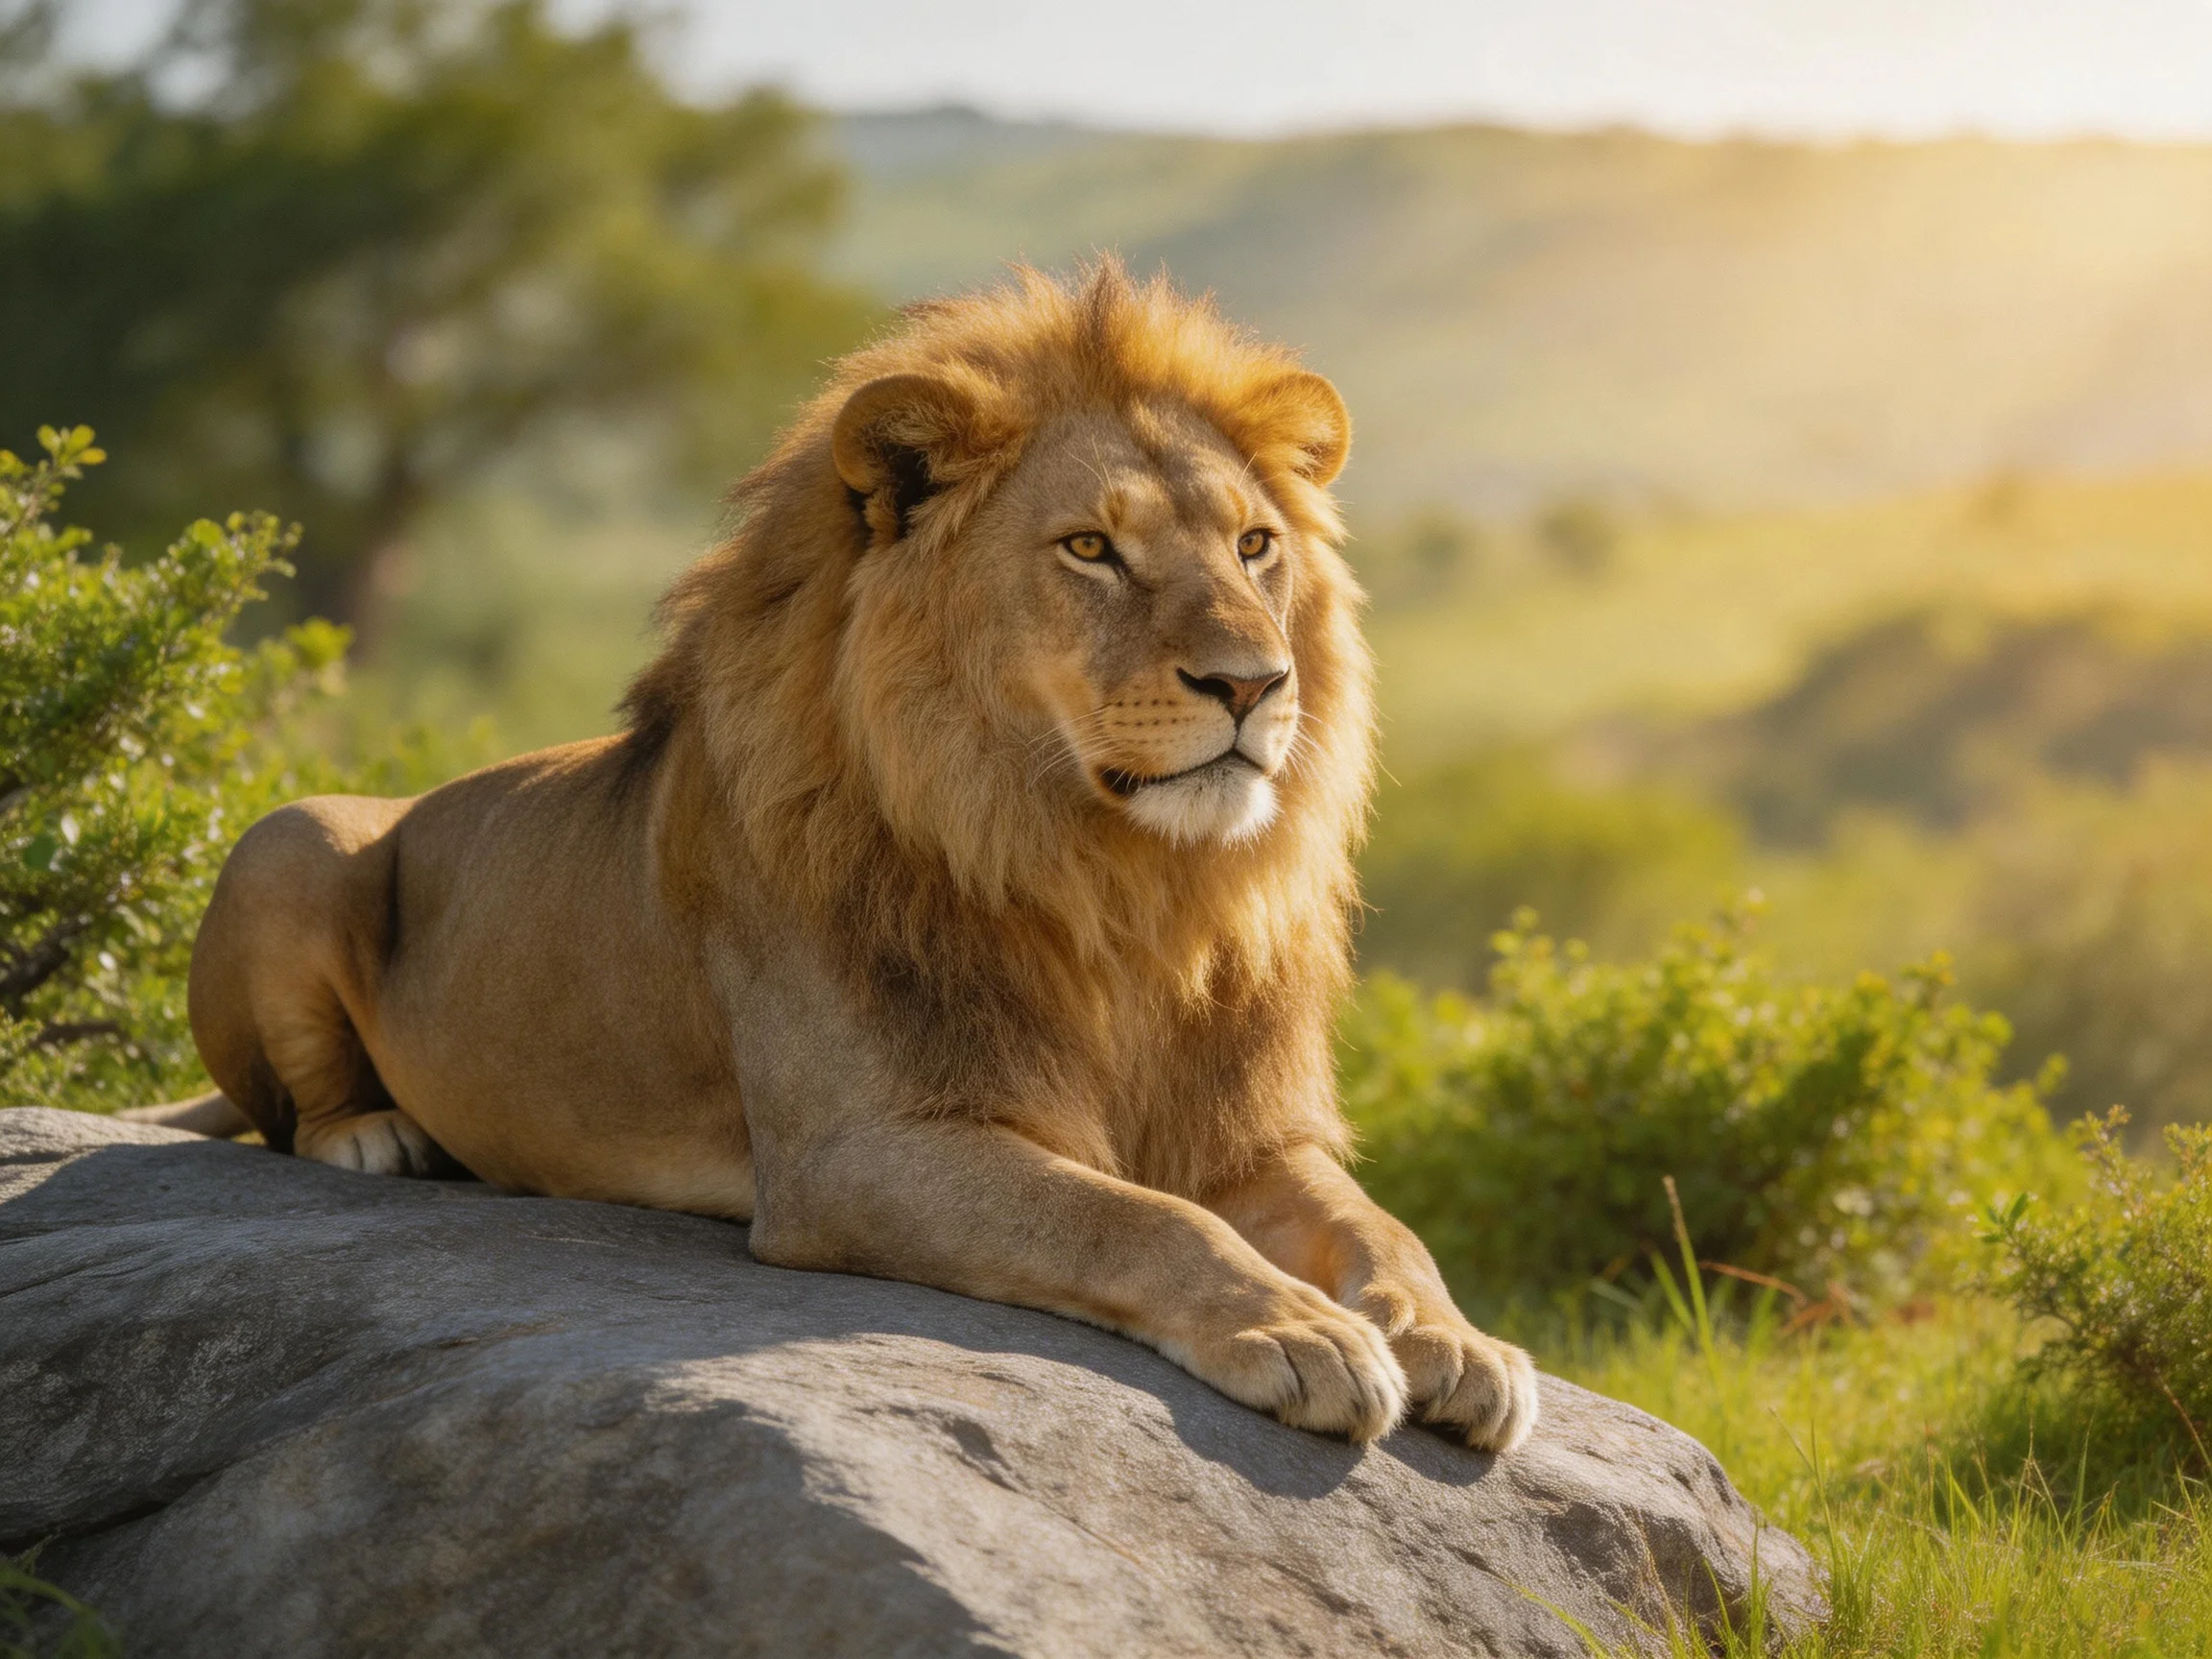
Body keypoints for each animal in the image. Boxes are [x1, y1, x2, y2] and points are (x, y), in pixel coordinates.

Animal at [125, 263, 1537, 1451]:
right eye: (1091, 548)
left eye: (1255, 546)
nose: (1253, 684)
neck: (1116, 883)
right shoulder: (857, 1152)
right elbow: (1135, 1215)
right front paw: (1301, 1331)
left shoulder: (1249, 1136)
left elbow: (1383, 1227)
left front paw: (1459, 1341)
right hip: (289, 835)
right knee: (293, 1106)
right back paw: (379, 1136)